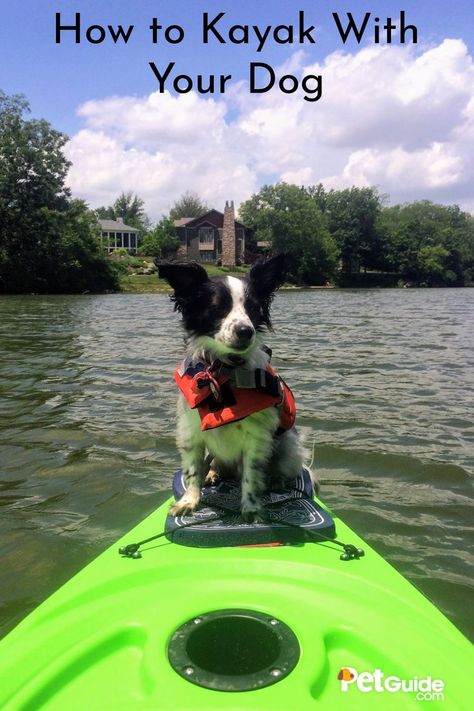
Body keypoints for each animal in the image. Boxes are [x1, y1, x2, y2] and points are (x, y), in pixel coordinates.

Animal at [158, 256, 304, 524]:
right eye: (218, 307)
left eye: (253, 308)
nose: (246, 330)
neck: (223, 372)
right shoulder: (191, 432)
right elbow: (192, 469)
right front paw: (189, 501)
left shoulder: (256, 438)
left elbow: (251, 475)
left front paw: (251, 508)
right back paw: (212, 473)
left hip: (289, 445)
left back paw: (276, 479)